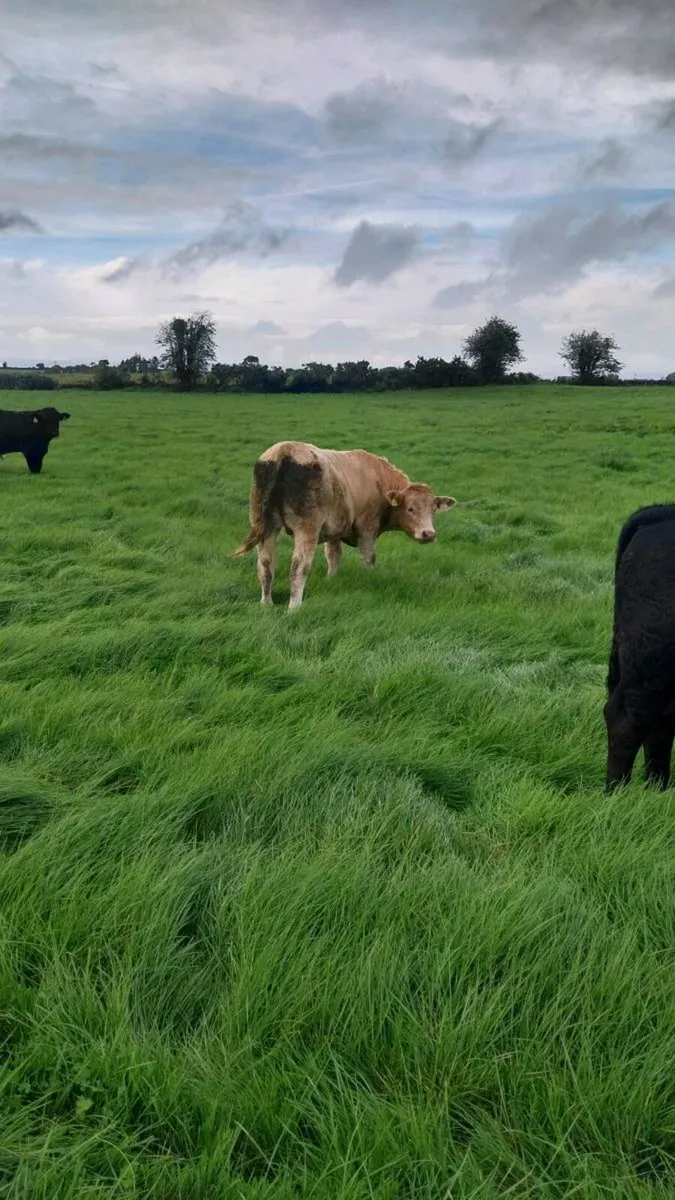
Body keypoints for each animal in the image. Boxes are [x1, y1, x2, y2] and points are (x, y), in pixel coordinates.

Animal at [234, 440, 455, 610]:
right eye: (410, 508)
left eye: (433, 509)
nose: (428, 533)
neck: (378, 479)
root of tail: (285, 450)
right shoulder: (367, 527)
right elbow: (369, 557)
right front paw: (370, 579)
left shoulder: (333, 531)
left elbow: (333, 557)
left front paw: (331, 580)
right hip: (307, 527)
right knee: (299, 566)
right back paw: (294, 607)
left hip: (266, 525)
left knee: (266, 564)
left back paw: (266, 604)